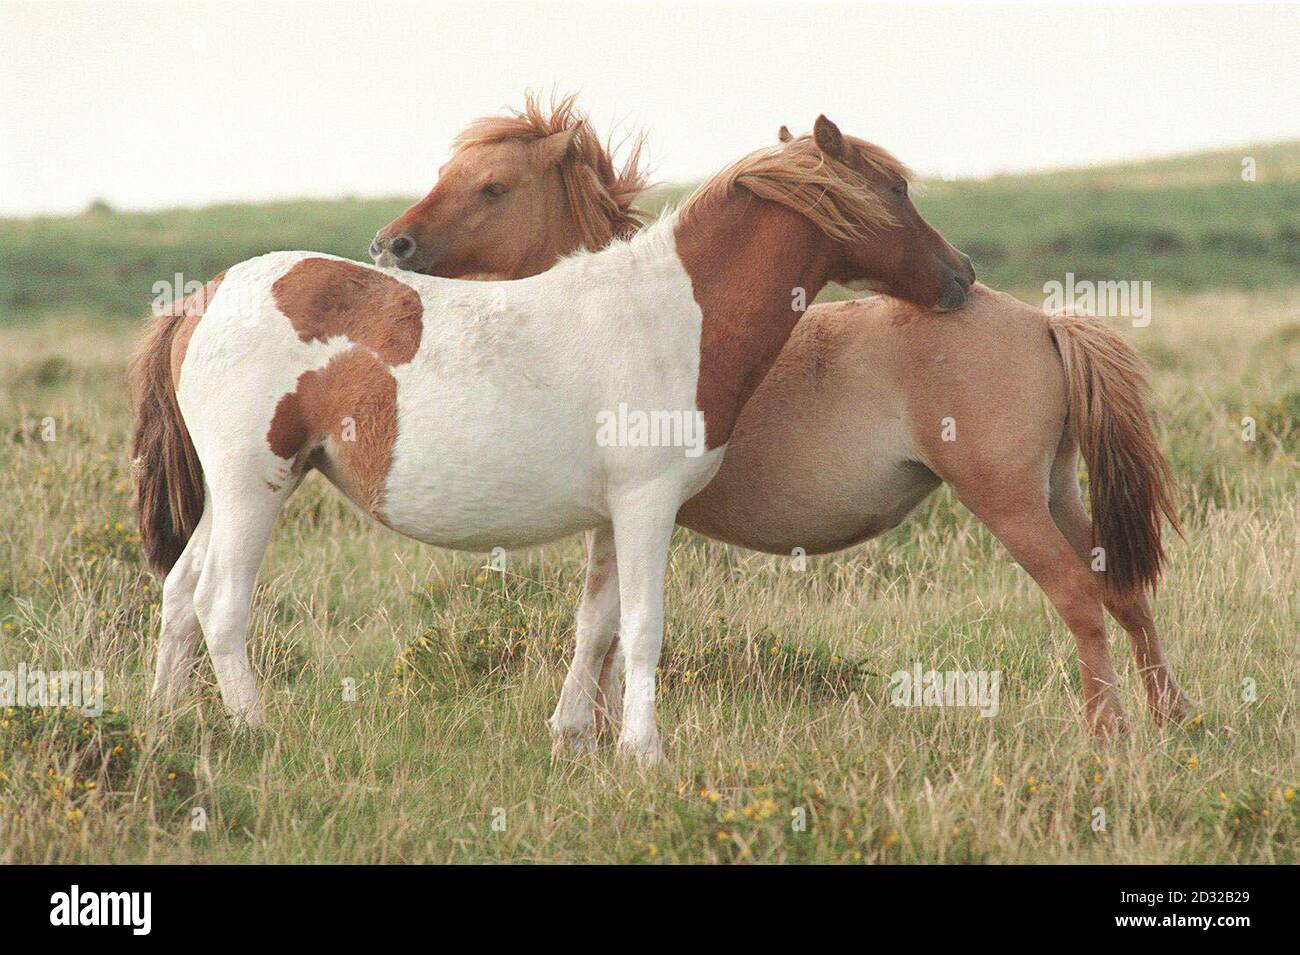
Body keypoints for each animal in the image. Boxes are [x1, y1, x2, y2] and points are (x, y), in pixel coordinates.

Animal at [131, 108, 972, 764]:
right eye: (896, 189)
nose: (961, 274)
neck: (674, 315)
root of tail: (202, 300)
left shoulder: (614, 516)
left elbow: (597, 626)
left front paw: (580, 739)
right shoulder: (647, 506)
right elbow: (642, 629)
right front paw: (643, 750)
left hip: (233, 496)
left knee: (178, 596)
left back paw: (168, 725)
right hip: (255, 488)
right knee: (220, 604)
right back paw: (255, 729)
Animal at [377, 98, 1190, 738]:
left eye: (492, 186)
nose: (390, 245)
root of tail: (1047, 323)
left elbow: (608, 631)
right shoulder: (618, 516)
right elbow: (604, 628)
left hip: (1009, 504)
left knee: (1079, 598)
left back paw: (1109, 732)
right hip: (1055, 494)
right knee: (1122, 594)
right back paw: (1170, 716)